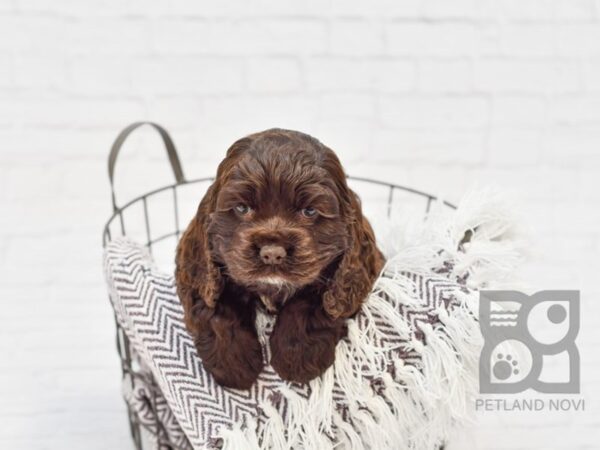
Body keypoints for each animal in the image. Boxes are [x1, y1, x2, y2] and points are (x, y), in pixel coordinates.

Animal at [176, 128, 386, 388]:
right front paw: (233, 365)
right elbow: (215, 304)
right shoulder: (200, 272)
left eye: (309, 211)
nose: (272, 254)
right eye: (242, 208)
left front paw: (297, 359)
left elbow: (311, 301)